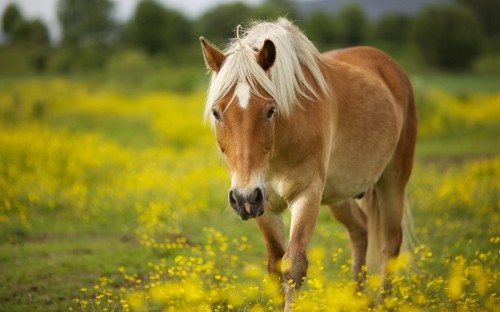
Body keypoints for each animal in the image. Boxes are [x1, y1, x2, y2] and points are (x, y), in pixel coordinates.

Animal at [199, 17, 418, 310]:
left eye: (270, 110)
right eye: (216, 112)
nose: (244, 198)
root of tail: (392, 68)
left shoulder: (306, 195)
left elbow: (293, 266)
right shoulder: (264, 205)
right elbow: (275, 266)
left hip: (393, 181)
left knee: (390, 245)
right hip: (340, 194)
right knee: (360, 230)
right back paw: (356, 298)